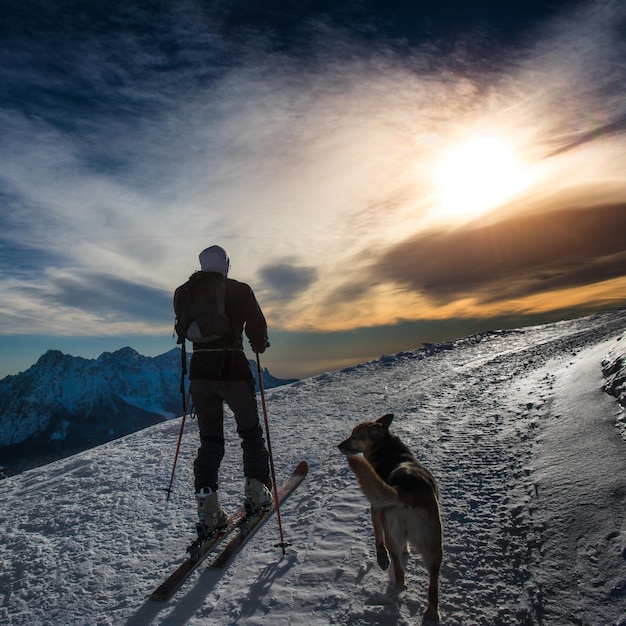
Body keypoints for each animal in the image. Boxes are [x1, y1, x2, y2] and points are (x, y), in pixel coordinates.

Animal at [338, 410, 442, 620]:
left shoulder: (375, 508)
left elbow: (378, 538)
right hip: (434, 546)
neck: (388, 449)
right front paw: (406, 550)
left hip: (393, 532)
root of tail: (406, 490)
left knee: (398, 571)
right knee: (433, 585)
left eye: (354, 436)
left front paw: (381, 558)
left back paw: (396, 587)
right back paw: (432, 613)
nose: (339, 446)